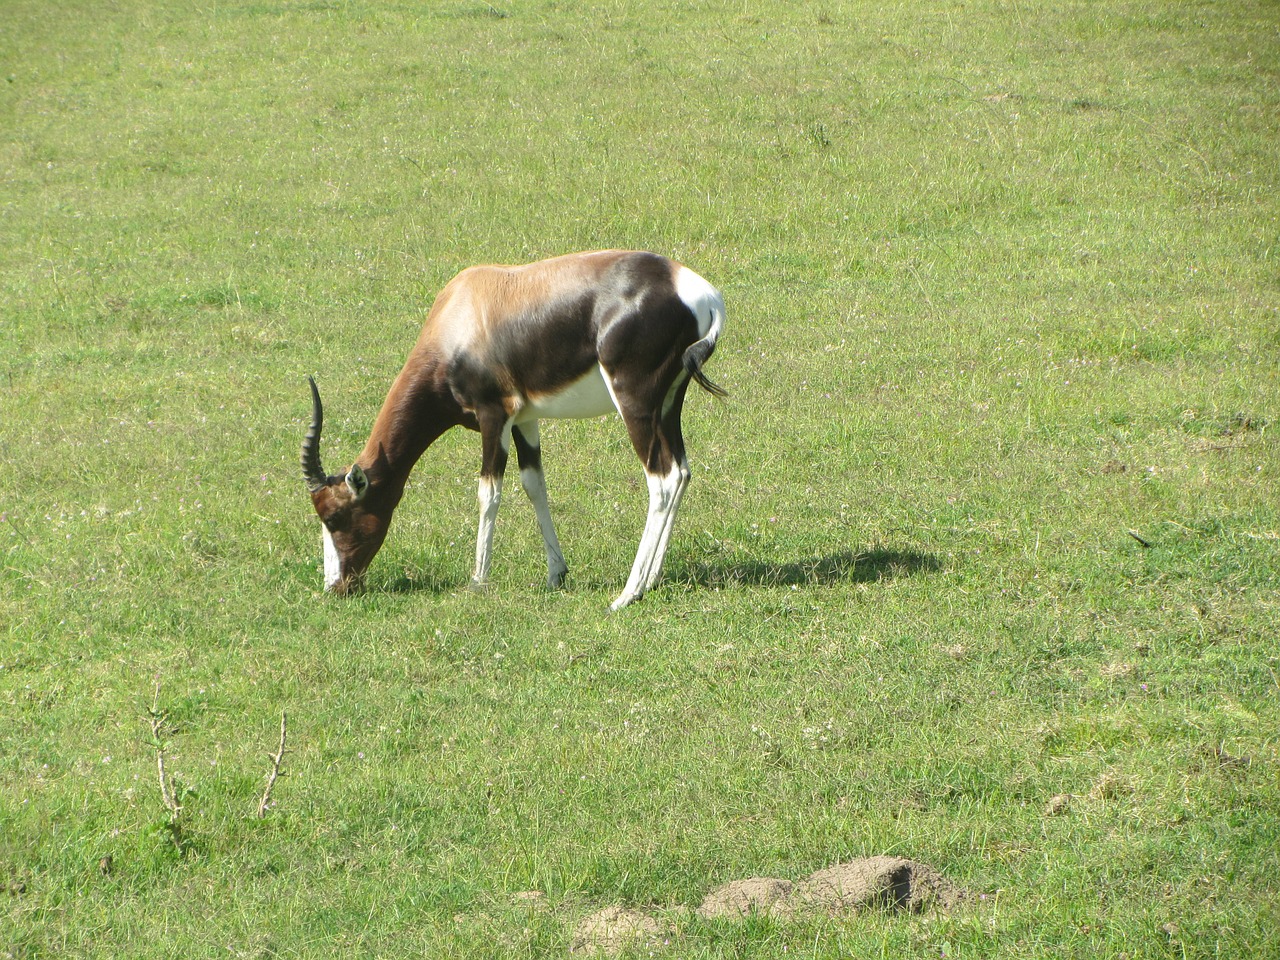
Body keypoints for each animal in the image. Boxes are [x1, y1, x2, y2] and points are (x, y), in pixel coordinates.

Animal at [294, 248, 727, 609]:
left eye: (334, 517)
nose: (337, 587)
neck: (463, 310)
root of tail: (701, 292)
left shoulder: (493, 416)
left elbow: (488, 493)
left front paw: (477, 581)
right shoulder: (525, 420)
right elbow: (534, 484)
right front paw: (556, 574)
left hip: (634, 403)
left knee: (662, 478)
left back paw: (628, 593)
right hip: (668, 404)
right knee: (682, 471)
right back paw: (651, 579)